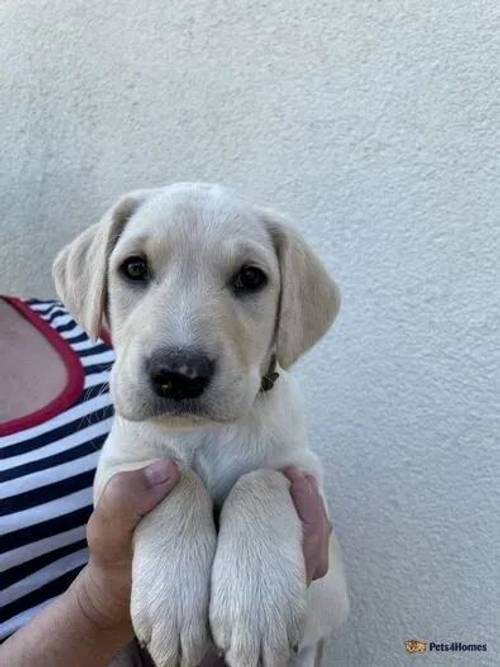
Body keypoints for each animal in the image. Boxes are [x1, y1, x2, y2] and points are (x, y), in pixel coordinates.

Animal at [51, 184, 348, 667]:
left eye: (250, 278)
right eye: (134, 268)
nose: (178, 373)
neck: (200, 432)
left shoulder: (306, 485)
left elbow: (261, 479)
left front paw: (256, 606)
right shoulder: (122, 469)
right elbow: (180, 481)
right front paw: (172, 604)